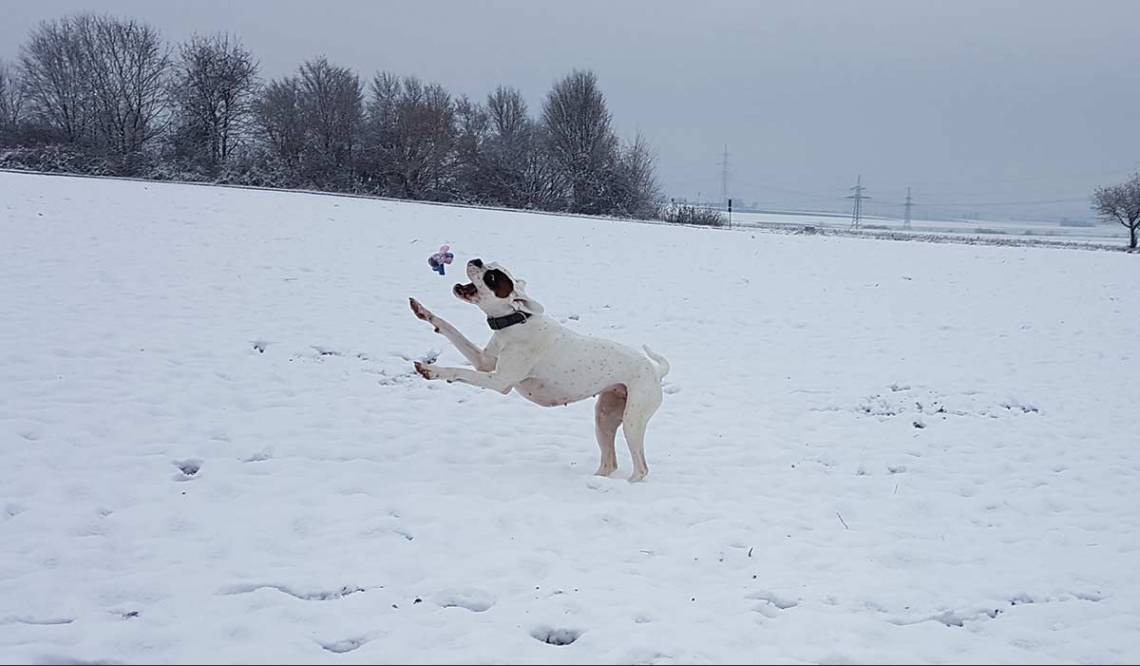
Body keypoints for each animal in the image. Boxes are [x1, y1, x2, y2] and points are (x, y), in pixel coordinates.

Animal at [412, 257, 665, 481]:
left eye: (492, 277)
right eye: (490, 265)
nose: (476, 259)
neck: (515, 320)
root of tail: (656, 371)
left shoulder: (499, 381)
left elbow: (461, 372)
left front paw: (432, 371)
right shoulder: (484, 362)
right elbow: (451, 330)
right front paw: (423, 311)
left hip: (632, 420)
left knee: (641, 468)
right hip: (605, 417)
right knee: (609, 463)